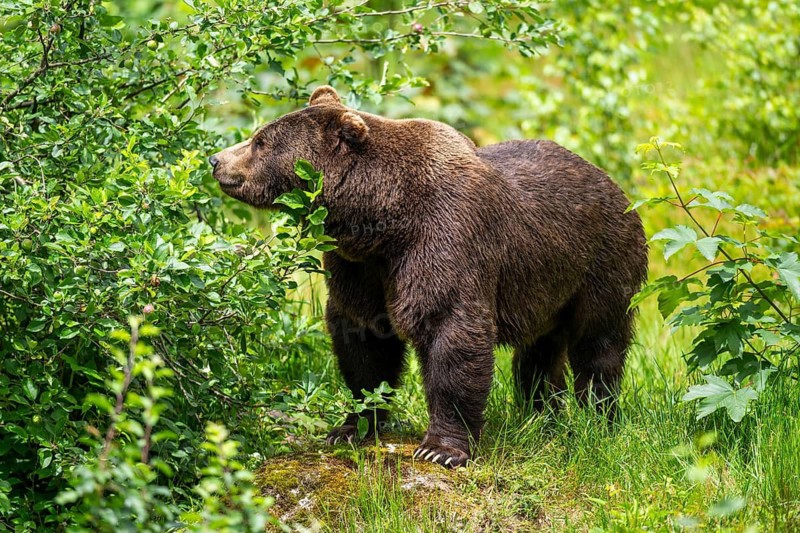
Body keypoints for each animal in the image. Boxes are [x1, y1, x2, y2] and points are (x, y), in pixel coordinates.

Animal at [209, 86, 648, 468]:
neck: (383, 220)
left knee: (599, 344)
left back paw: (598, 417)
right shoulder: (361, 268)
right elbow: (363, 340)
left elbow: (448, 331)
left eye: (260, 141)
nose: (216, 160)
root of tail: (614, 184)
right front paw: (350, 427)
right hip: (545, 282)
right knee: (540, 352)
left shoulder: (445, 240)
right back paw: (540, 414)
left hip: (602, 263)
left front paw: (441, 448)